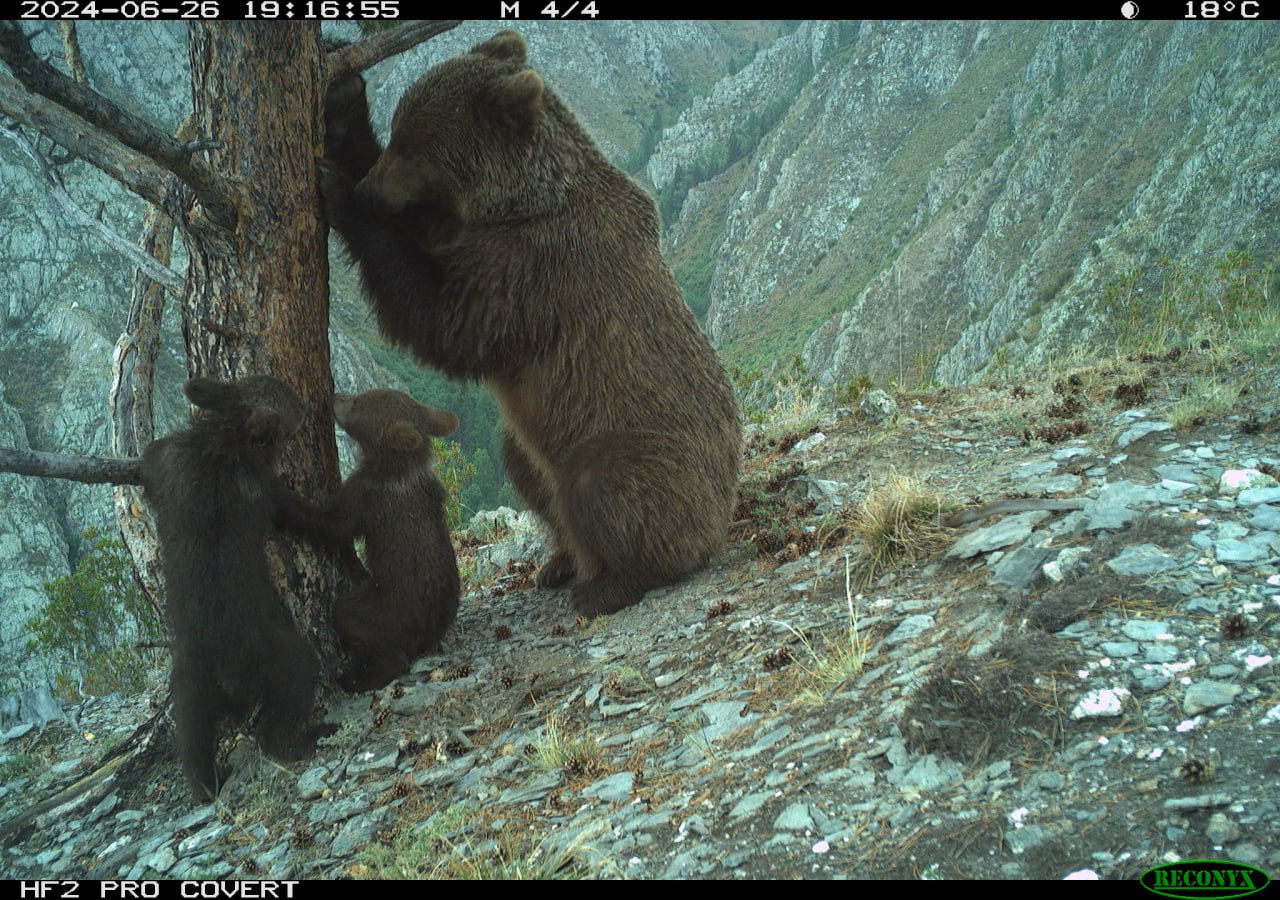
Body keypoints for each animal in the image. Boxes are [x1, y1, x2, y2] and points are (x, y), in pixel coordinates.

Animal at [320, 29, 742, 619]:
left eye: (413, 148)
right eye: (399, 132)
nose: (368, 191)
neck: (517, 203)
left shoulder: (533, 270)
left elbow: (446, 322)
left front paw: (338, 193)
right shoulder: (464, 232)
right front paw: (342, 94)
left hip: (644, 445)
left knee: (603, 484)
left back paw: (607, 584)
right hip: (535, 446)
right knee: (521, 461)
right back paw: (561, 561)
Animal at [327, 391, 463, 691]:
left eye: (358, 403)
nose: (334, 395)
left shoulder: (366, 494)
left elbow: (334, 525)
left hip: (384, 610)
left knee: (349, 617)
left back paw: (357, 677)